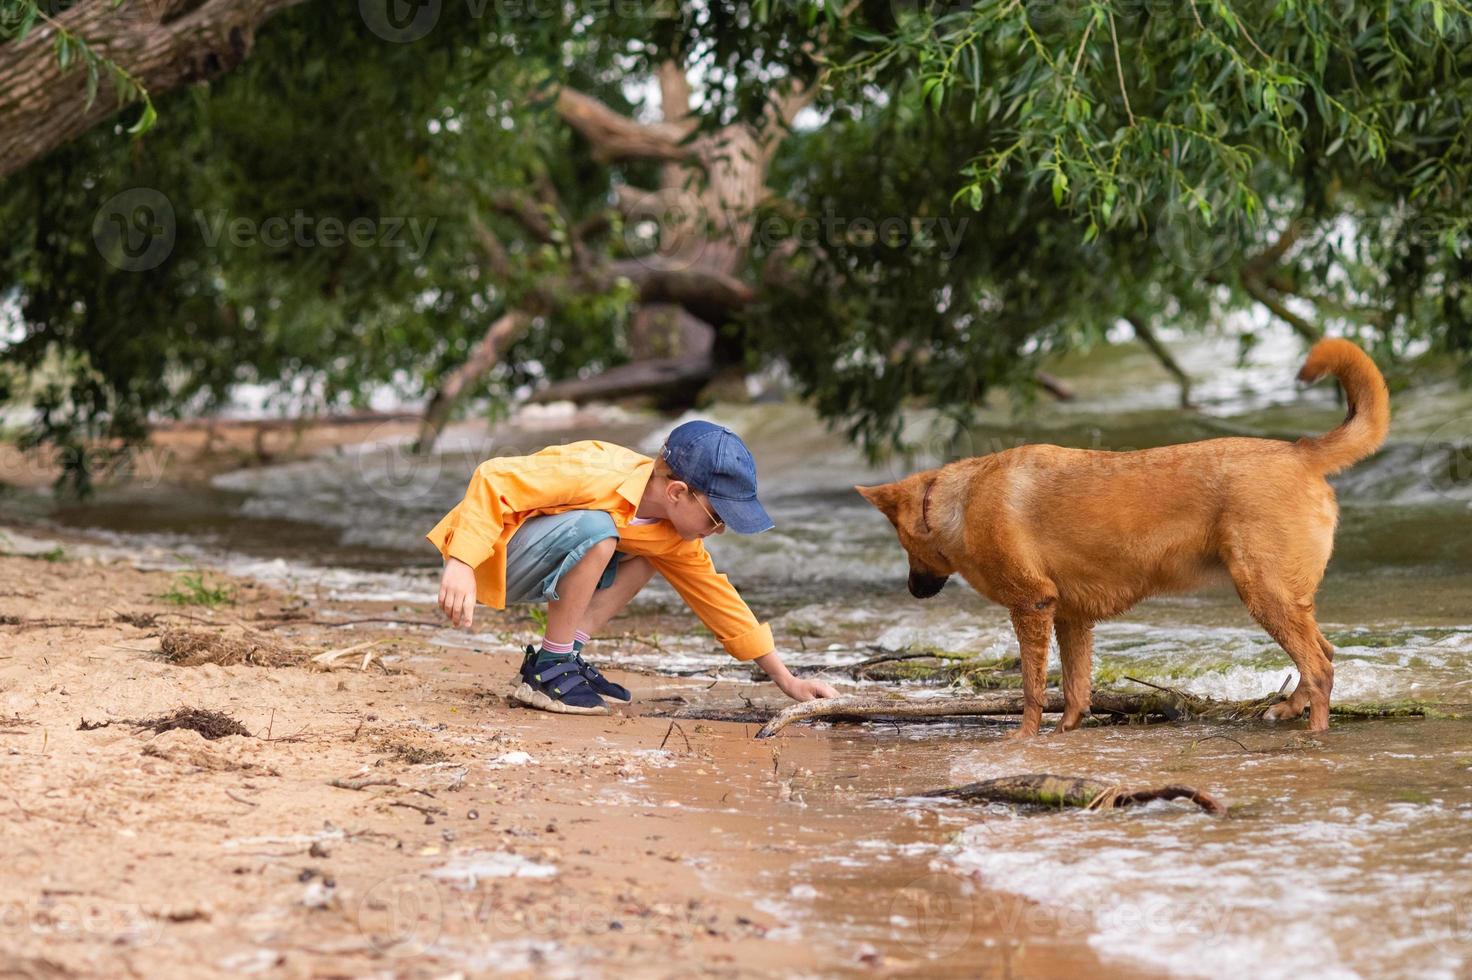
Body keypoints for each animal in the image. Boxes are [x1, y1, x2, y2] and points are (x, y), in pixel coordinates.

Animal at [859, 338, 1383, 732]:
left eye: (904, 545)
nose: (913, 589)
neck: (957, 501)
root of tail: (1301, 451)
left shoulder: (1031, 606)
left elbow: (1032, 689)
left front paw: (1024, 738)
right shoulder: (1070, 617)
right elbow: (1075, 690)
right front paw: (1065, 733)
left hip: (1264, 592)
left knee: (1320, 668)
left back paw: (1313, 731)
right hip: (1282, 599)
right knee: (1324, 655)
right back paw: (1290, 709)